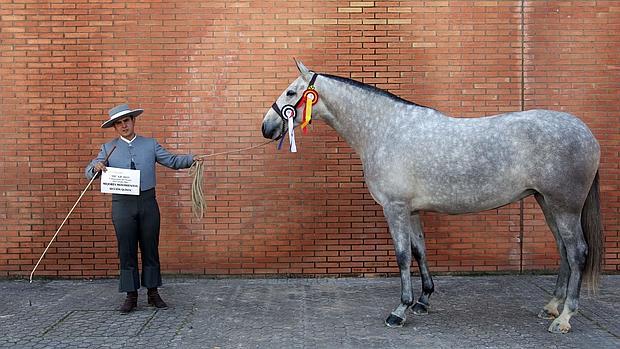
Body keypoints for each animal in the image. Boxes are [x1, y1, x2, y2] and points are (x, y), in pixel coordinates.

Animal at [260, 61, 600, 334]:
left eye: (291, 93)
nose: (267, 127)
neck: (385, 130)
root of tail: (586, 132)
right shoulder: (411, 210)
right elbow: (419, 251)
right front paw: (423, 300)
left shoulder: (395, 208)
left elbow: (401, 256)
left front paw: (400, 310)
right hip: (547, 203)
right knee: (563, 250)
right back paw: (552, 306)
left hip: (564, 207)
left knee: (577, 252)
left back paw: (565, 318)